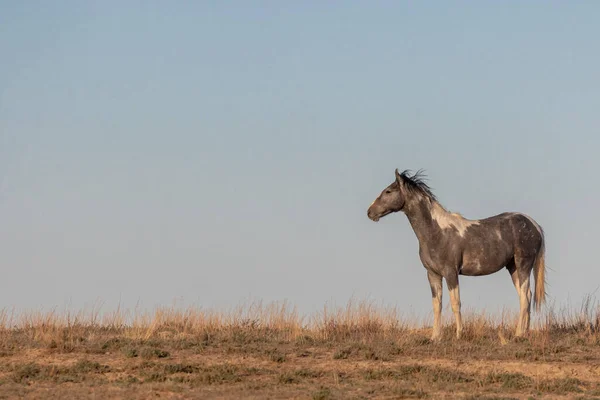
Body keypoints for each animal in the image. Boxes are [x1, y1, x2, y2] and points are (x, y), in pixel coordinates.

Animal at [364, 169, 548, 340]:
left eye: (388, 191)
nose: (370, 212)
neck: (436, 232)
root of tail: (535, 225)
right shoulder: (433, 274)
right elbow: (437, 304)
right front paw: (435, 337)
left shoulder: (451, 272)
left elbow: (455, 303)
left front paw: (459, 334)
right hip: (512, 267)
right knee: (526, 296)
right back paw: (524, 332)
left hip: (523, 265)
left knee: (525, 296)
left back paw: (519, 334)